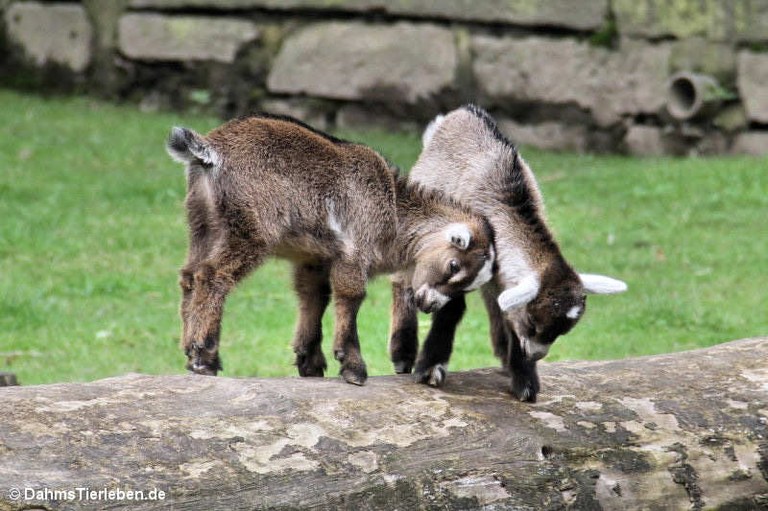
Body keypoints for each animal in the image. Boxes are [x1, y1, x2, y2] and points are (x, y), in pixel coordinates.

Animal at [166, 113, 495, 385]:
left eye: (469, 286)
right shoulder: (353, 250)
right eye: (454, 265)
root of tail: (209, 150)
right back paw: (206, 357)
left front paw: (309, 363)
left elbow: (313, 297)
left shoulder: (313, 259)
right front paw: (353, 367)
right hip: (249, 229)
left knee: (189, 276)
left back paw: (189, 351)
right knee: (213, 275)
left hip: (202, 224)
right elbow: (351, 296)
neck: (393, 209)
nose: (428, 304)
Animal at [389, 105, 626, 401]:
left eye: (561, 332)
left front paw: (524, 379)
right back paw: (402, 353)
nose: (535, 355)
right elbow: (453, 307)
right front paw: (431, 368)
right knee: (402, 278)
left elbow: (504, 309)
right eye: (533, 322)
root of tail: (457, 115)